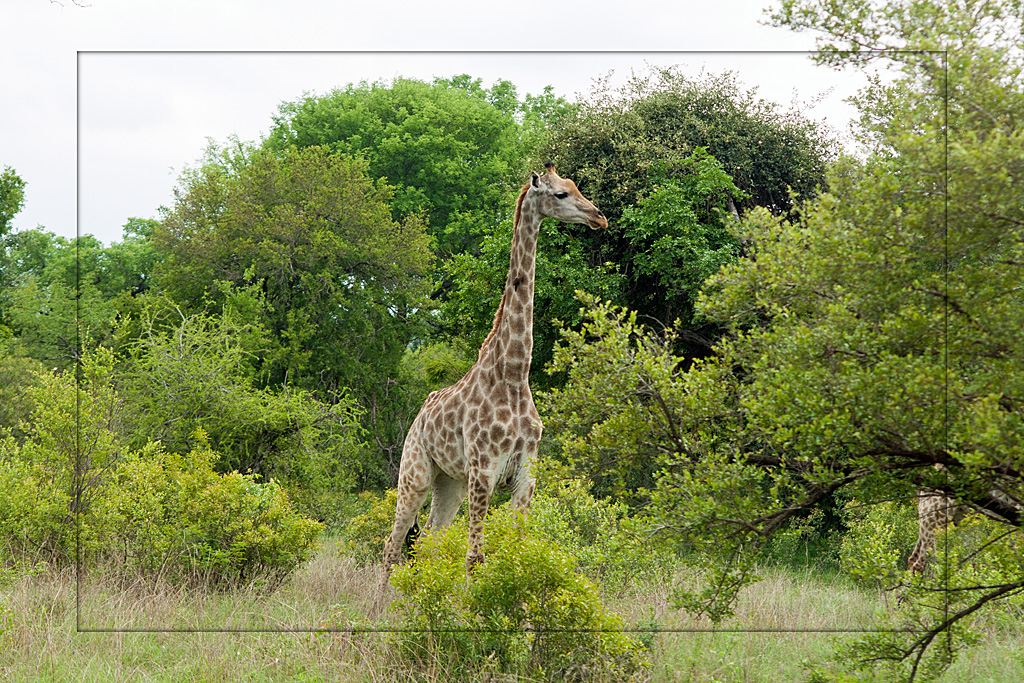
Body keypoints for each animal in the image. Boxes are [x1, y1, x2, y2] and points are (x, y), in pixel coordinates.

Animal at [380, 162, 606, 593]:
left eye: (575, 186)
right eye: (561, 194)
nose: (598, 217)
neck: (515, 374)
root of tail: (418, 418)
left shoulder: (526, 473)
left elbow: (518, 553)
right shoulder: (484, 469)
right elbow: (475, 558)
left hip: (448, 482)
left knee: (428, 543)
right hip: (415, 474)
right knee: (391, 546)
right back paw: (380, 607)